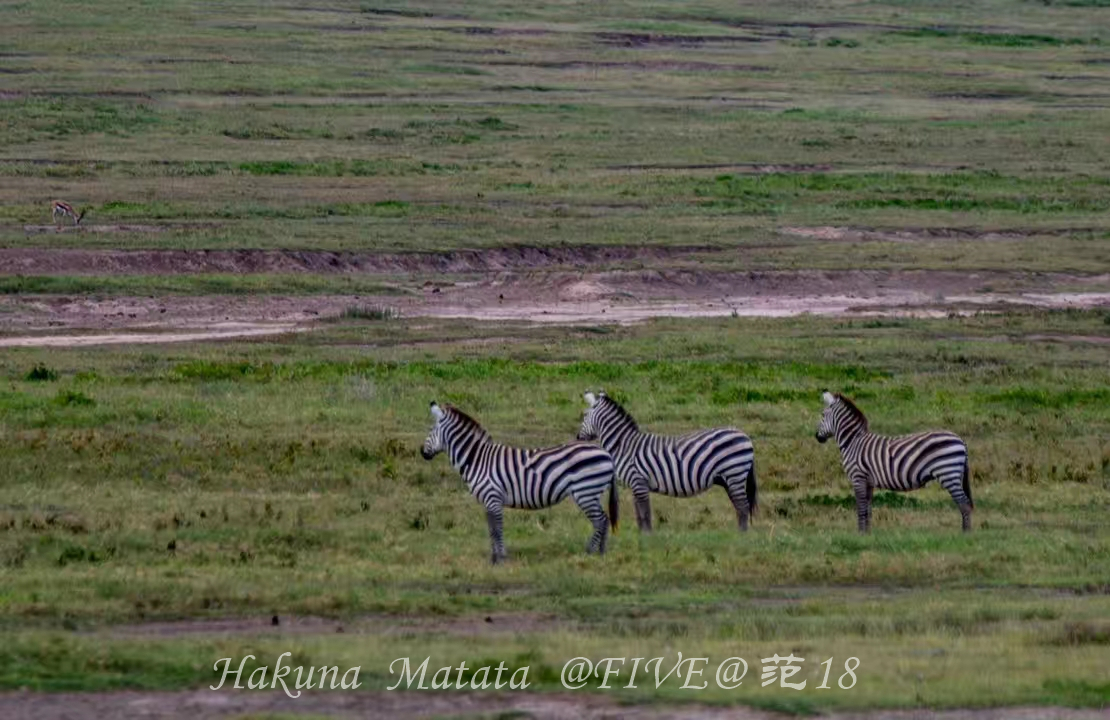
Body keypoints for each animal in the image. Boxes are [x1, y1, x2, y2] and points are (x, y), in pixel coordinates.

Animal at [421, 399, 621, 561]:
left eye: (431, 430)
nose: (422, 453)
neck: (477, 458)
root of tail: (606, 454)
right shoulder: (488, 501)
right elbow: (491, 529)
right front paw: (494, 557)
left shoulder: (493, 497)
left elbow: (497, 529)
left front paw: (500, 558)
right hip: (592, 493)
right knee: (604, 519)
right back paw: (601, 552)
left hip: (585, 492)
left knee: (600, 520)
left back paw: (591, 552)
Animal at [577, 390, 759, 530]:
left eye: (584, 415)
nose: (578, 437)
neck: (624, 445)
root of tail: (745, 436)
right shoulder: (636, 485)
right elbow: (639, 516)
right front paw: (642, 538)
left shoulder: (639, 481)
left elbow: (645, 514)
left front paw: (647, 538)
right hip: (729, 478)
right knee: (740, 507)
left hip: (734, 472)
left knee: (743, 507)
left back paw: (741, 536)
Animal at [816, 390, 972, 530]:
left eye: (823, 415)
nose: (817, 437)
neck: (853, 442)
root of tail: (960, 440)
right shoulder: (868, 482)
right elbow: (868, 510)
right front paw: (867, 535)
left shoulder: (858, 477)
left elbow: (861, 510)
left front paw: (860, 534)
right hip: (953, 473)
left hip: (948, 473)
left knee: (964, 504)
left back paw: (965, 534)